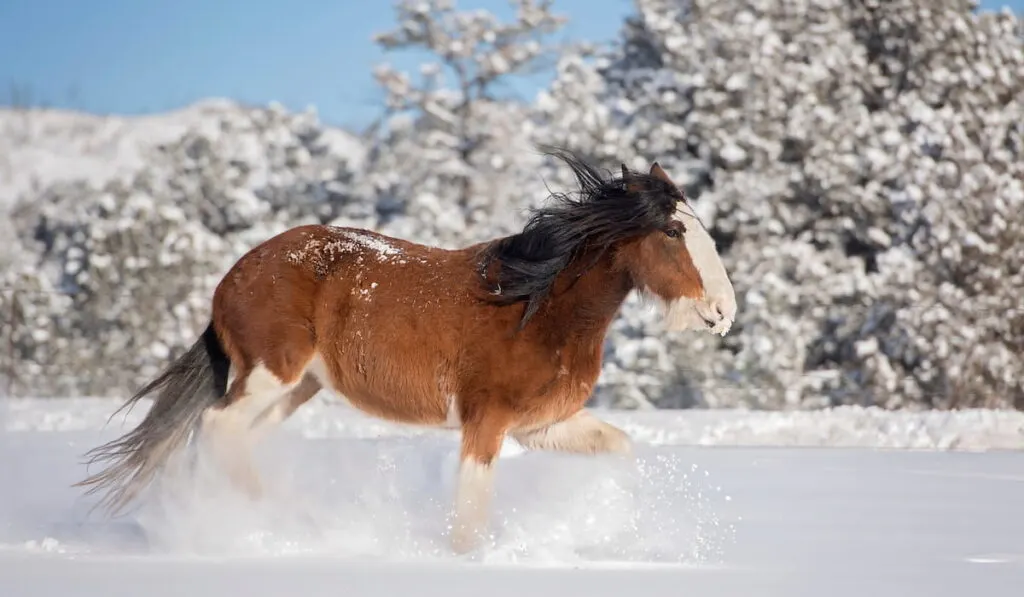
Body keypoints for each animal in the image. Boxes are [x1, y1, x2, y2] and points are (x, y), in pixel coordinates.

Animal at [75, 148, 741, 552]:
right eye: (674, 231)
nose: (724, 312)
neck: (536, 305)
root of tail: (233, 277)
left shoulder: (541, 426)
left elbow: (621, 451)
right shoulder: (485, 421)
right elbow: (470, 511)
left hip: (293, 390)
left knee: (223, 439)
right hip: (270, 374)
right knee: (215, 427)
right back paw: (276, 525)